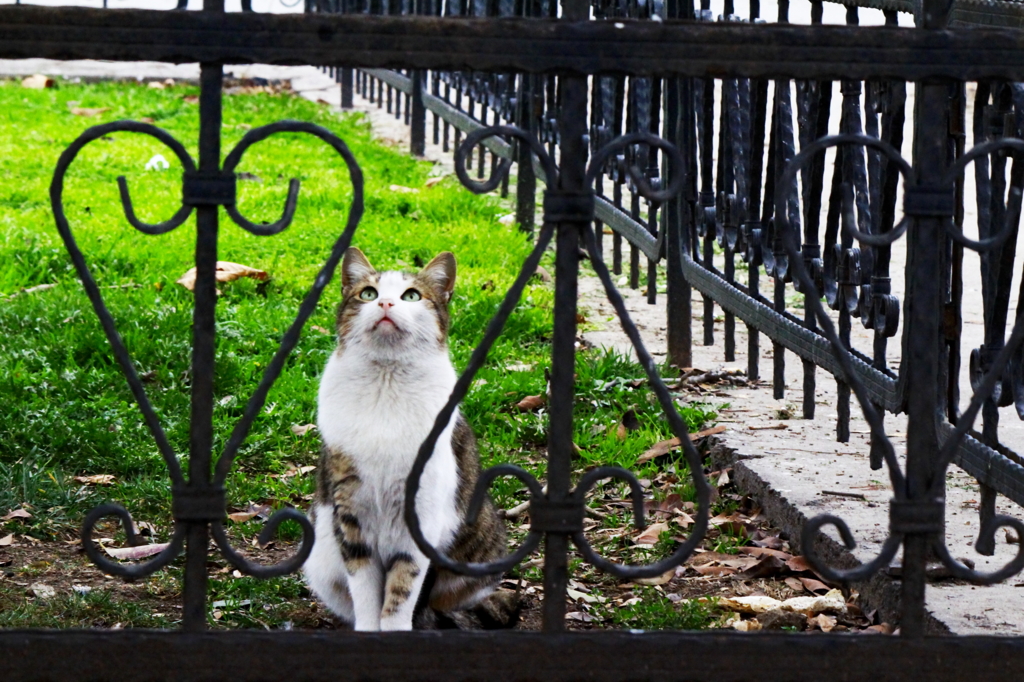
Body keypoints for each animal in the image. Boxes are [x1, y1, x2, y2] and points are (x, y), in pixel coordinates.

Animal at [303, 246, 512, 630]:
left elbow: (402, 591)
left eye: (411, 296)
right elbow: (365, 590)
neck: (386, 381)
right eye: (368, 293)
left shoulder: (422, 516)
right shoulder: (350, 514)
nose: (385, 303)